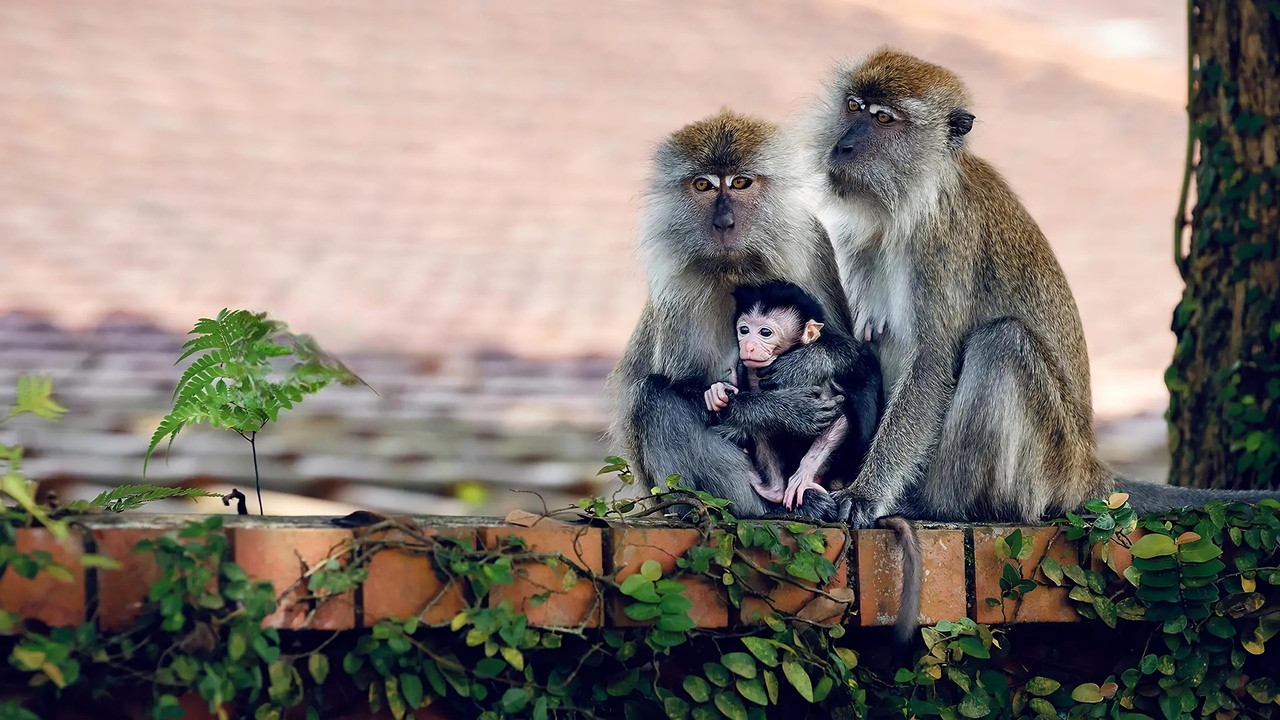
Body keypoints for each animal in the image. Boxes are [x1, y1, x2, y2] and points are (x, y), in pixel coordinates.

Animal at [703, 281, 883, 512]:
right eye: (744, 330)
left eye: (765, 332)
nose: (748, 346)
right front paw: (717, 393)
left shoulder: (818, 384)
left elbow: (840, 418)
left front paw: (804, 472)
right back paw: (772, 489)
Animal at [799, 47, 1280, 533]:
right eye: (854, 107)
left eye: (884, 118)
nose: (843, 146)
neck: (910, 204)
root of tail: (1089, 468)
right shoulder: (858, 240)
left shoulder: (943, 245)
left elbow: (931, 365)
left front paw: (865, 494)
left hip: (1049, 465)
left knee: (1003, 343)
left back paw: (940, 505)